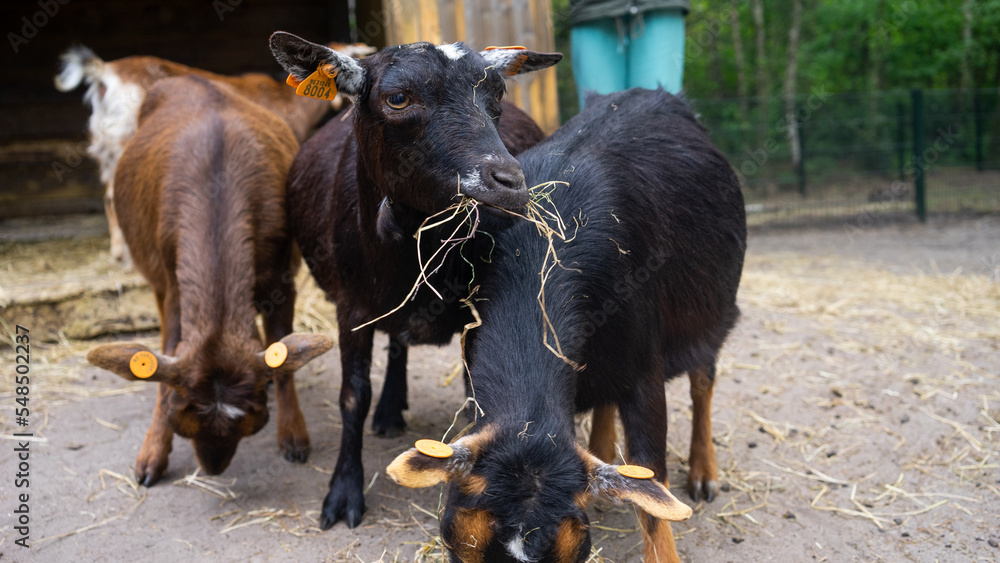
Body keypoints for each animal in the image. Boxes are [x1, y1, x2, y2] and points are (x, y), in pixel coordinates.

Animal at [85, 74, 331, 486]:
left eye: (253, 424)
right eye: (179, 421)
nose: (213, 468)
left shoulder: (281, 274)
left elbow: (283, 348)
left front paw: (294, 437)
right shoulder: (173, 283)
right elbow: (167, 349)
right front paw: (152, 456)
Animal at [269, 32, 559, 529]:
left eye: (497, 96)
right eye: (398, 98)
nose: (509, 184)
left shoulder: (477, 309)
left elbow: (477, 399)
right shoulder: (351, 308)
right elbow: (353, 396)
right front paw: (343, 494)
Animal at [387, 88, 747, 563]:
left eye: (577, 551)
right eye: (453, 543)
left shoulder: (644, 373)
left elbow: (653, 488)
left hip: (712, 309)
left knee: (703, 379)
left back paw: (705, 472)